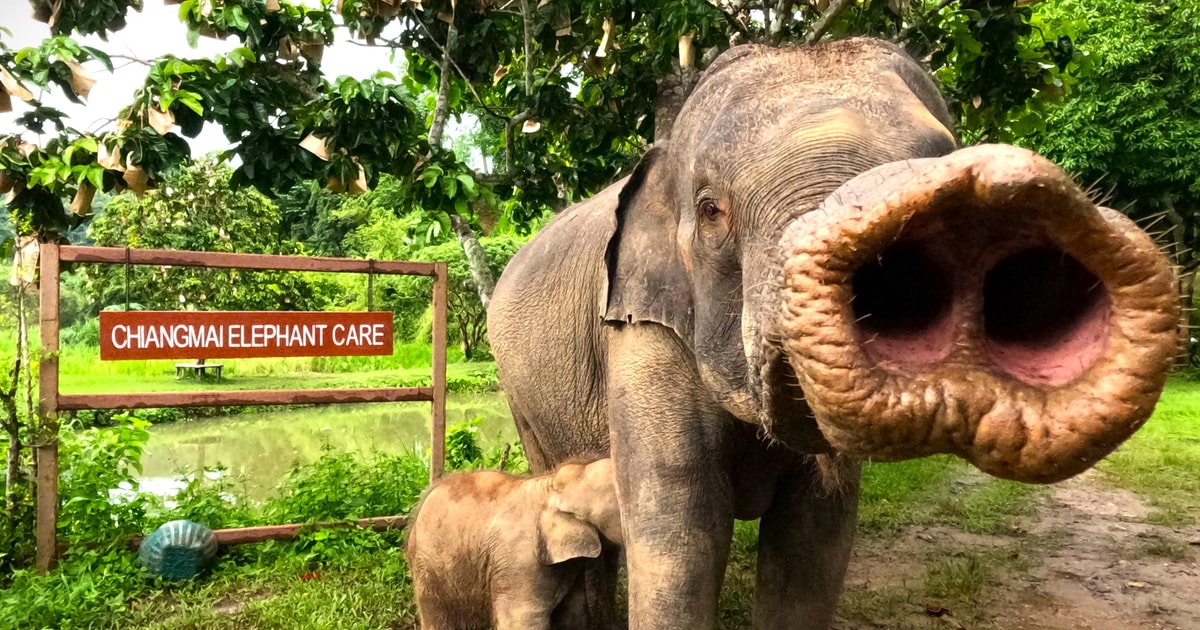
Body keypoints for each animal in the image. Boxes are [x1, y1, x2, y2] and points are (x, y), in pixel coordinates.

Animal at [487, 37, 1178, 629]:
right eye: (711, 211)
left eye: (942, 156)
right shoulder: (643, 334)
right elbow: (680, 528)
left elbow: (815, 536)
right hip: (521, 397)